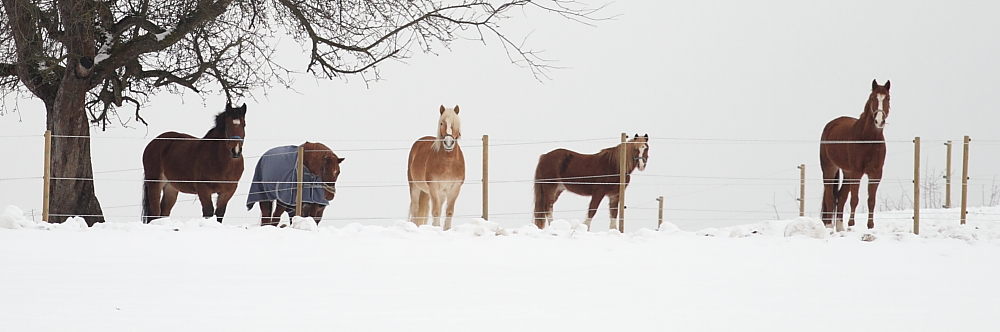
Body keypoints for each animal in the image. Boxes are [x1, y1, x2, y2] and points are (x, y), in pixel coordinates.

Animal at [820, 80, 892, 231]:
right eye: (873, 98)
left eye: (887, 98)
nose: (879, 121)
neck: (868, 140)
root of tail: (831, 124)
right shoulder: (857, 172)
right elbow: (854, 199)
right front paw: (851, 224)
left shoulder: (876, 173)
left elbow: (871, 200)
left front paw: (870, 226)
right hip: (829, 168)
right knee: (830, 196)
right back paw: (829, 226)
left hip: (847, 172)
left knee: (841, 197)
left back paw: (840, 227)